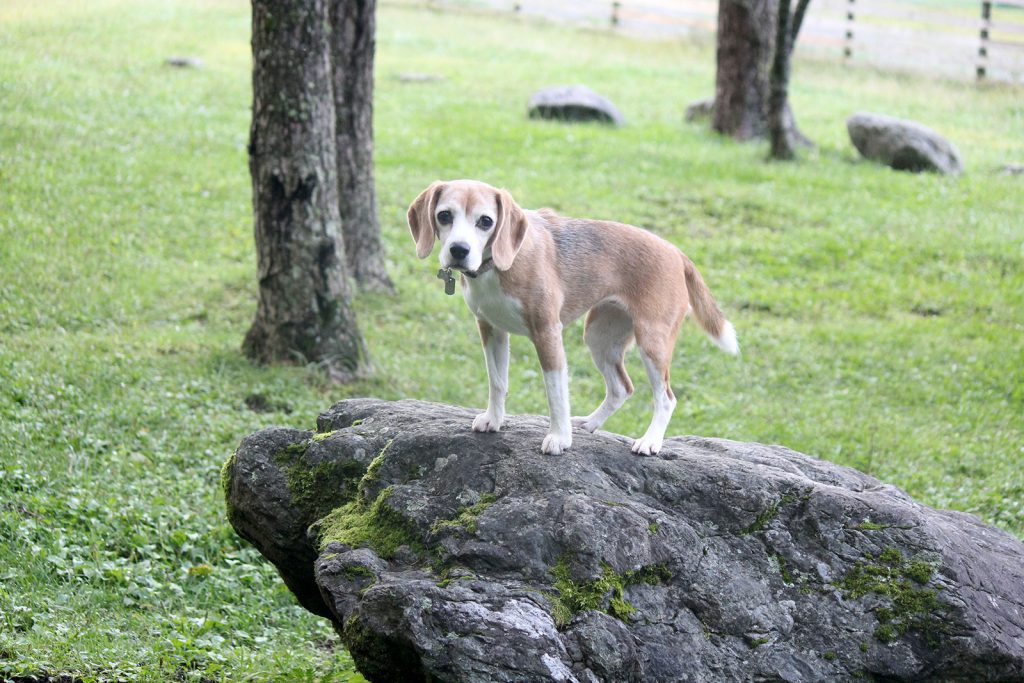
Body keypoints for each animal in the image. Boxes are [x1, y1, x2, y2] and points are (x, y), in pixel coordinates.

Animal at [407, 179, 737, 456]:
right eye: (444, 215)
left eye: (485, 221)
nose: (458, 250)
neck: (499, 265)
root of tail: (676, 253)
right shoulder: (491, 329)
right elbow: (497, 381)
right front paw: (493, 419)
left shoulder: (547, 332)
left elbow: (555, 393)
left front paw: (559, 438)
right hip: (599, 337)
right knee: (621, 388)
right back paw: (590, 424)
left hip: (652, 342)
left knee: (666, 398)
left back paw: (650, 441)